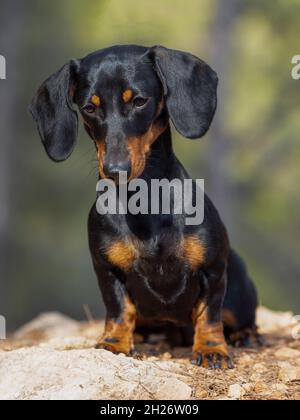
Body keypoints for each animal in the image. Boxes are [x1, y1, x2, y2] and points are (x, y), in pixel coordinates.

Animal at [31, 44, 260, 370]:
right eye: (90, 108)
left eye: (139, 101)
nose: (114, 170)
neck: (144, 202)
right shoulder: (107, 271)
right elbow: (118, 309)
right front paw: (114, 342)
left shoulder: (213, 270)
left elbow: (210, 313)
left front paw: (212, 349)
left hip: (239, 288)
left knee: (239, 319)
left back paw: (245, 336)